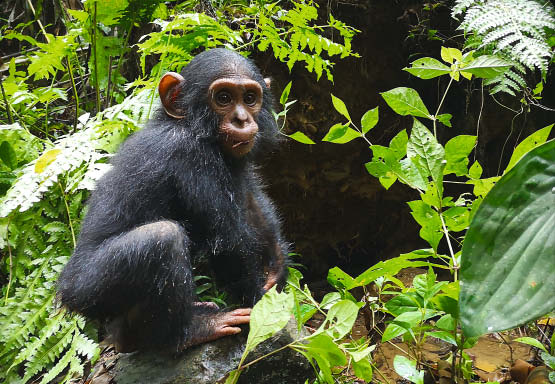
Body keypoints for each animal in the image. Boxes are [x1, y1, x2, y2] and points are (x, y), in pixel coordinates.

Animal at [57, 49, 292, 352]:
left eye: (249, 98)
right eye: (224, 98)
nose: (242, 119)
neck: (188, 125)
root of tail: (65, 291)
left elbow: (249, 196)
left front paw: (275, 265)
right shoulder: (191, 156)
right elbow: (228, 241)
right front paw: (260, 309)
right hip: (89, 289)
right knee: (163, 238)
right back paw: (189, 331)